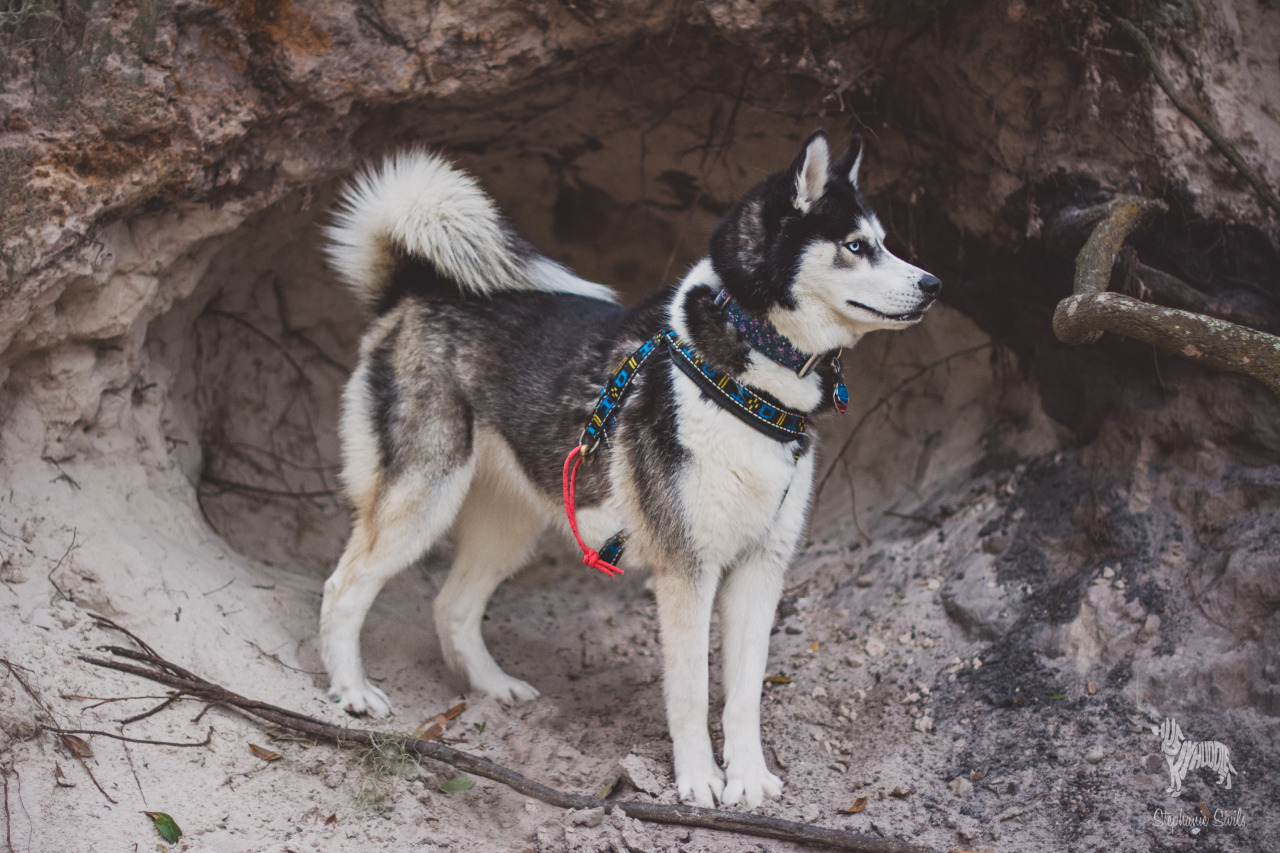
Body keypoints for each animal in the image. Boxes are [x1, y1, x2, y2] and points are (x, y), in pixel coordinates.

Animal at [320, 133, 942, 804]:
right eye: (856, 246)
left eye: (883, 241)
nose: (934, 283)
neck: (747, 384)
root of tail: (413, 294)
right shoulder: (687, 570)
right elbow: (692, 691)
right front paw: (699, 780)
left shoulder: (760, 569)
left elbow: (744, 696)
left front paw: (748, 779)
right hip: (422, 501)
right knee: (344, 587)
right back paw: (352, 691)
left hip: (509, 528)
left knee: (451, 607)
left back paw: (493, 688)